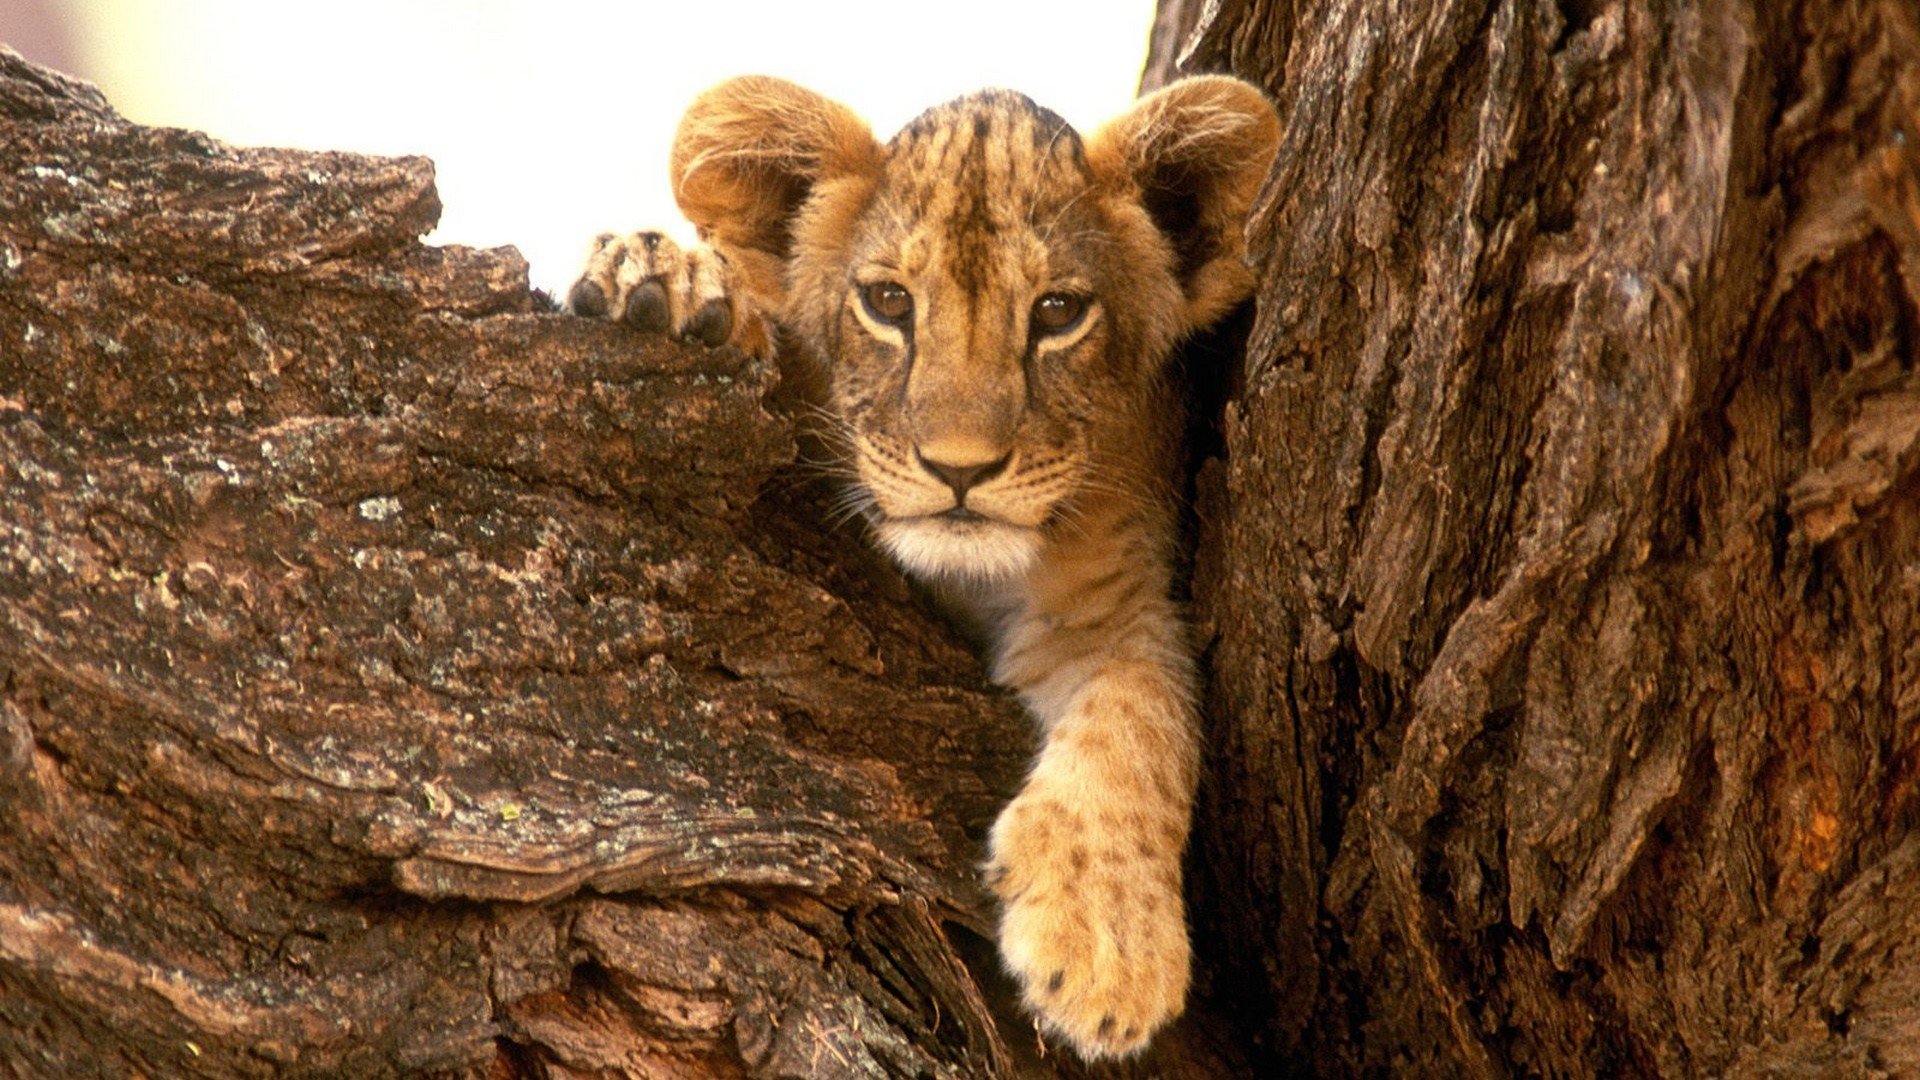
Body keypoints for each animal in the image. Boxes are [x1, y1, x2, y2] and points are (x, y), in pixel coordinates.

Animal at [570, 74, 1279, 1060]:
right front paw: (667, 280)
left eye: (1058, 312)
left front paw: (1106, 946)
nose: (961, 469)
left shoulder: (1113, 600)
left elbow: (1144, 718)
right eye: (888, 302)